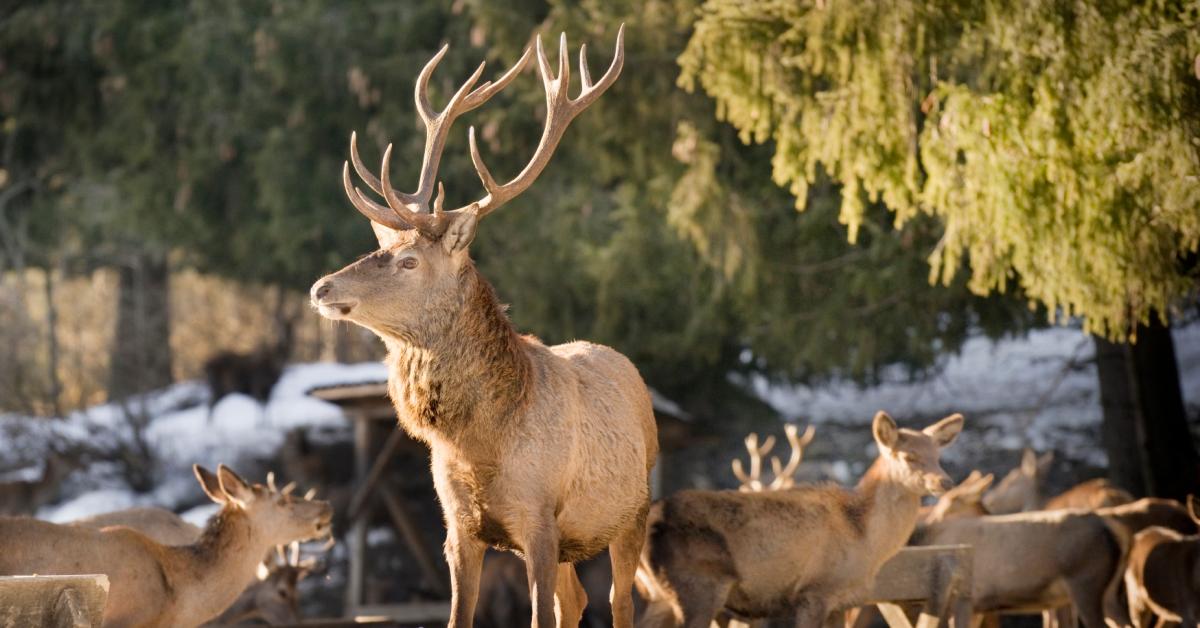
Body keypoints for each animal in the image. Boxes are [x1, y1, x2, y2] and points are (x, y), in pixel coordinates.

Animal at [308, 26, 658, 628]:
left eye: (408, 261)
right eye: (382, 247)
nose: (322, 288)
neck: (479, 444)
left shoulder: (540, 520)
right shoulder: (458, 528)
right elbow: (459, 616)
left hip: (632, 508)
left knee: (619, 600)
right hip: (576, 539)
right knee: (577, 600)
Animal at [635, 411, 962, 628]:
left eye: (938, 456)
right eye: (909, 457)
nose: (944, 481)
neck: (864, 538)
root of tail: (654, 516)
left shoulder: (840, 602)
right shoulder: (813, 591)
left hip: (659, 595)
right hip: (697, 587)